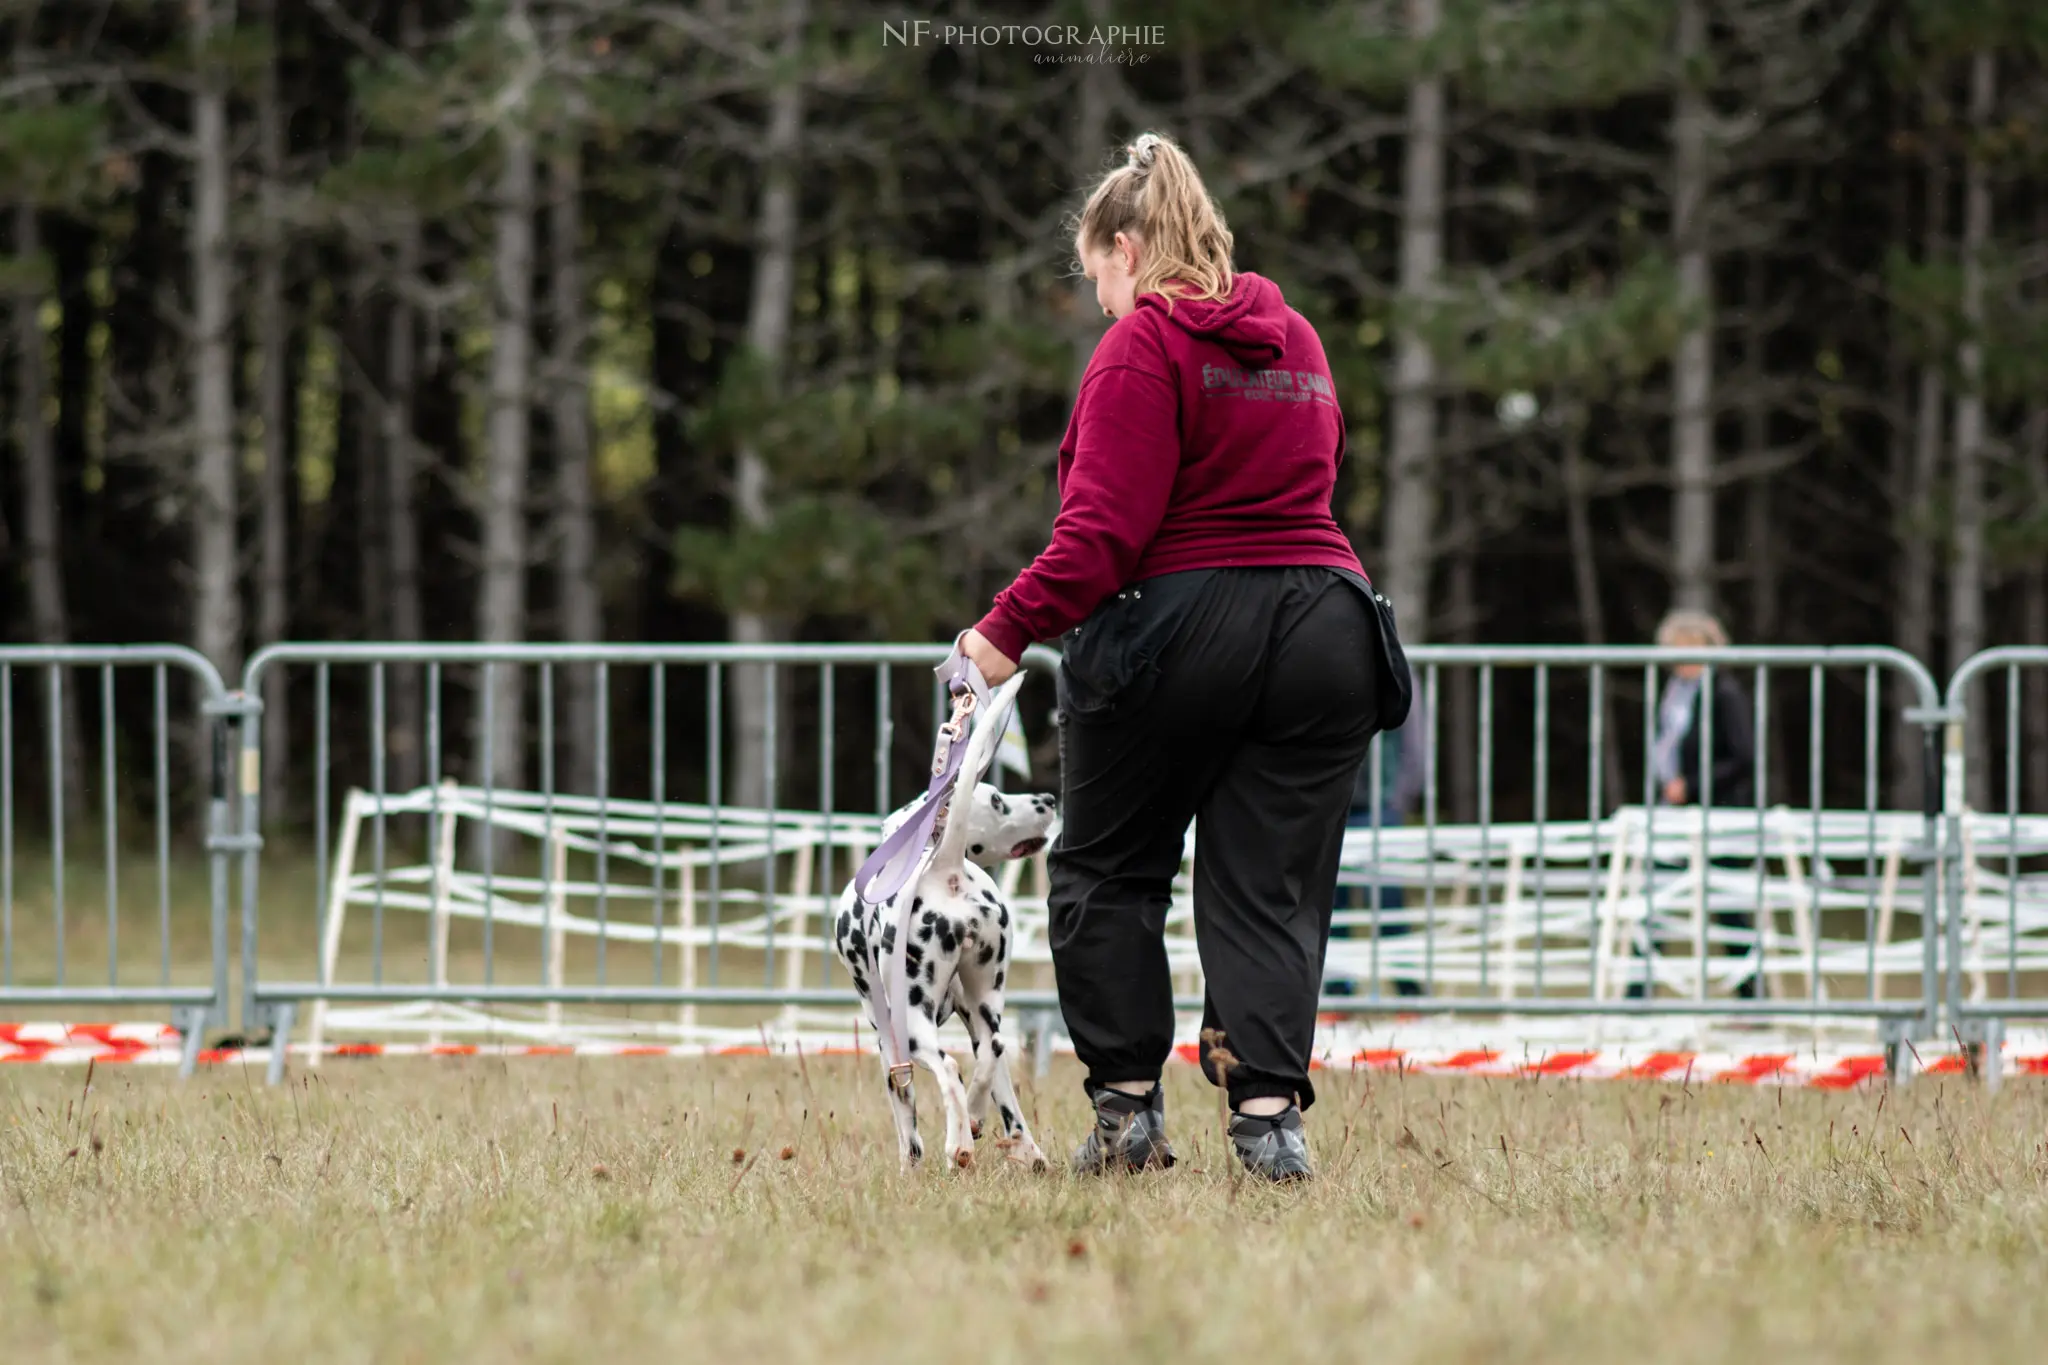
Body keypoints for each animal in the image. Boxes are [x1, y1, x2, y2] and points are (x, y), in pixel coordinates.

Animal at [831, 773, 1056, 1170]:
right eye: (997, 800)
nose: (1049, 799)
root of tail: (945, 869)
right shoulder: (974, 1024)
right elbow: (1006, 1099)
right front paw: (1025, 1151)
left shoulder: (890, 1049)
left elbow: (908, 1130)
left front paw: (910, 1170)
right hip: (985, 1007)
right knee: (991, 1053)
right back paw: (976, 1120)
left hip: (914, 1028)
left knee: (950, 1070)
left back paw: (958, 1146)